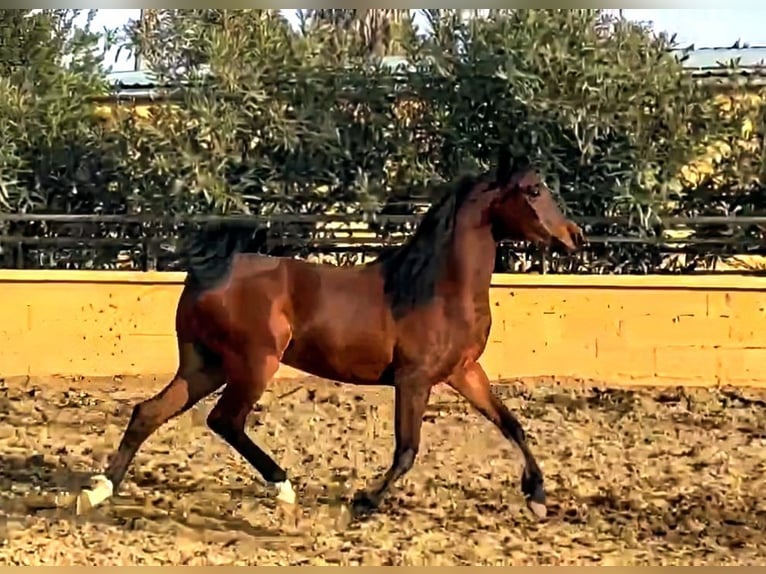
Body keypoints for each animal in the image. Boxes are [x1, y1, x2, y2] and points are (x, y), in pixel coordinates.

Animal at [76, 151, 584, 524]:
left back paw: (97, 492)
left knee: (149, 412)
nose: (574, 236)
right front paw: (363, 503)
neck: (435, 287)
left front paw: (538, 496)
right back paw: (284, 489)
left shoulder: (464, 371)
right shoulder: (414, 379)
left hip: (207, 365)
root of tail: (207, 274)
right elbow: (406, 450)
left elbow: (512, 424)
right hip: (255, 364)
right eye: (533, 190)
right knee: (225, 420)